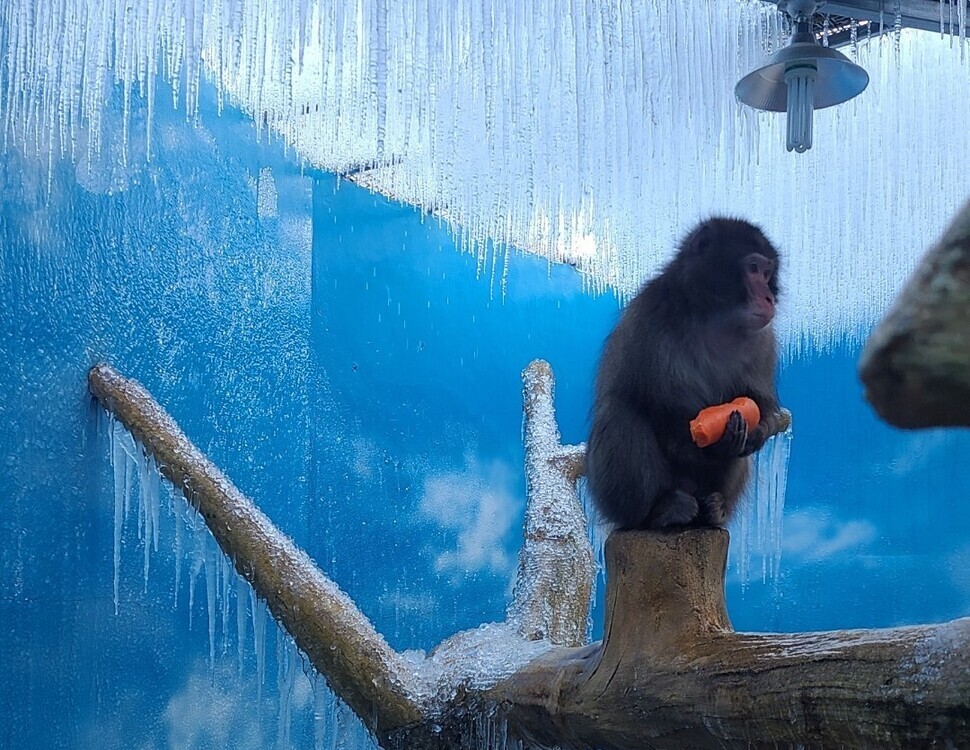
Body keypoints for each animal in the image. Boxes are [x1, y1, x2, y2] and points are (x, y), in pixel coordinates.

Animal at [584, 217, 780, 532]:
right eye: (752, 269)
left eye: (767, 272)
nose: (769, 297)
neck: (715, 319)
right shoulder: (654, 318)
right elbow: (664, 410)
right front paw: (718, 443)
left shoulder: (763, 340)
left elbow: (756, 400)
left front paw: (757, 430)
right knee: (619, 413)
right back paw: (658, 512)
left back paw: (715, 509)